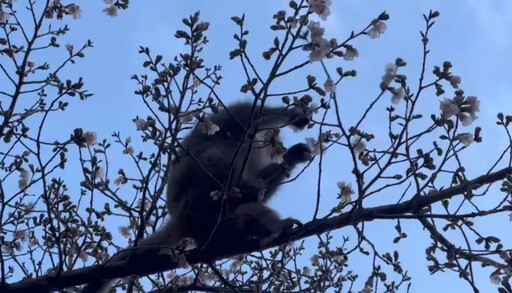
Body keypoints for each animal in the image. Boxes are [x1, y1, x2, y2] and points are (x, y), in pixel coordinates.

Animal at [80, 100, 314, 292]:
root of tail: (181, 221)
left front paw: (290, 158)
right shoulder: (230, 119)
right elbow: (251, 113)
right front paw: (293, 114)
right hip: (194, 197)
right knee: (220, 151)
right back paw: (246, 199)